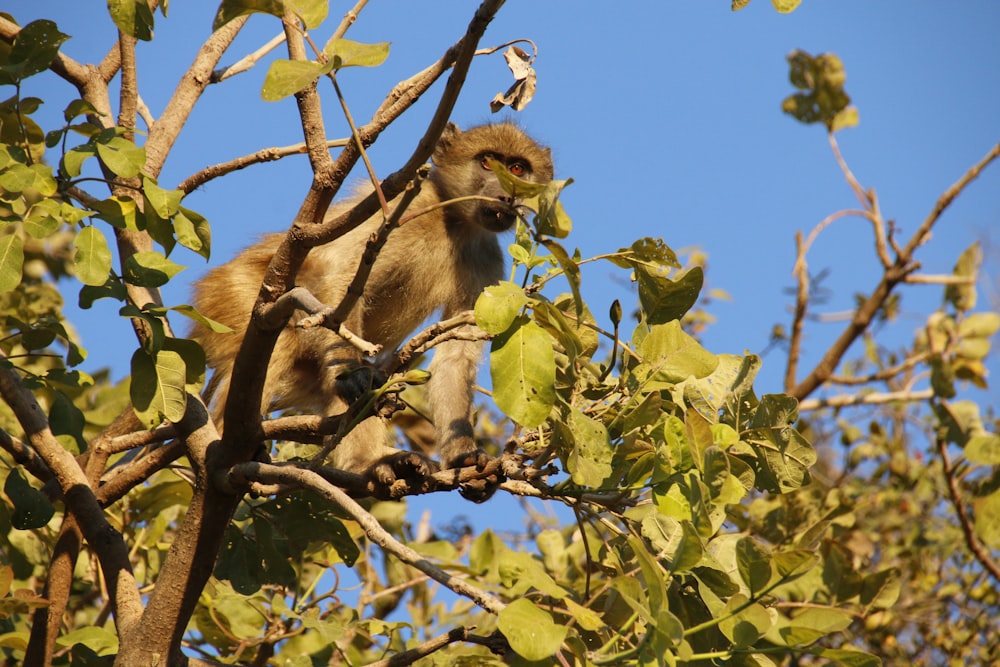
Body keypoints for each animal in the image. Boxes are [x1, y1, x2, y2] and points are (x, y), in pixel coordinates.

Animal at [188, 122, 556, 500]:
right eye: (487, 162)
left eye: (517, 169)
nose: (507, 195)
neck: (454, 221)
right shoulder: (402, 210)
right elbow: (344, 276)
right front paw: (356, 375)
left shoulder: (487, 262)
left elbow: (455, 355)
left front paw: (463, 458)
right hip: (235, 297)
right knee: (279, 341)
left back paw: (374, 465)